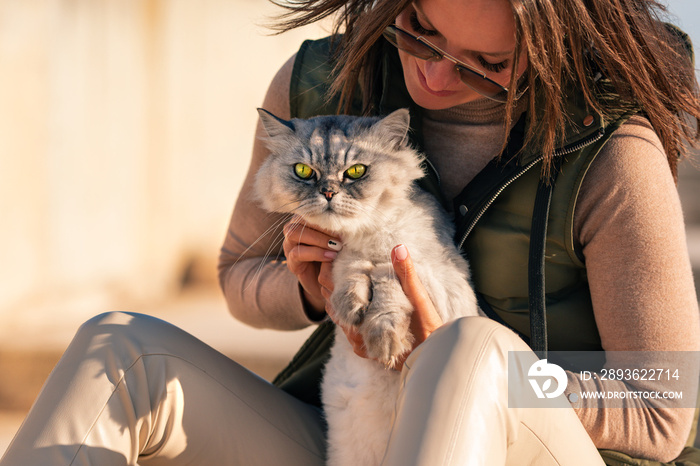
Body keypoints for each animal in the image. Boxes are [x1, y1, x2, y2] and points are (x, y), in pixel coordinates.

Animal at [258, 108, 482, 466]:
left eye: (356, 172)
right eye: (304, 172)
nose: (329, 192)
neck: (364, 236)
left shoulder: (445, 284)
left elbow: (387, 274)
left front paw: (385, 340)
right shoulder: (342, 256)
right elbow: (352, 266)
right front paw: (351, 304)